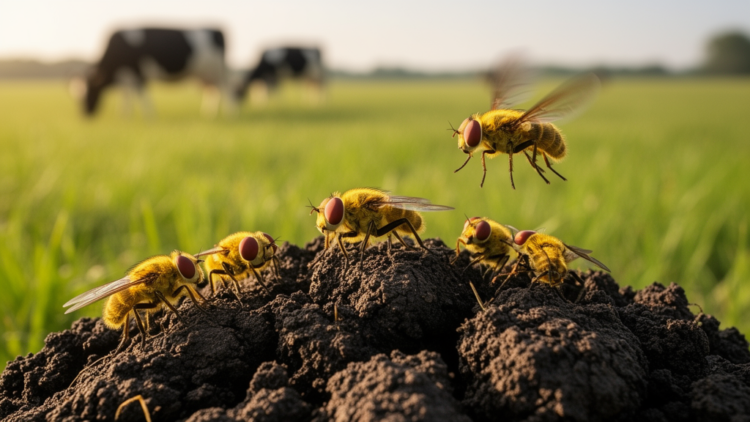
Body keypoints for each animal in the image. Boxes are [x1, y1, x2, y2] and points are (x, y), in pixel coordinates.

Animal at [75, 28, 233, 116]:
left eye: (90, 93)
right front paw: (124, 114)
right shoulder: (127, 76)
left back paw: (230, 114)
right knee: (213, 92)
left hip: (218, 71)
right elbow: (127, 95)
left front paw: (149, 115)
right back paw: (210, 114)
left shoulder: (138, 73)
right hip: (208, 75)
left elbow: (141, 95)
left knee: (225, 90)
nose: (84, 115)